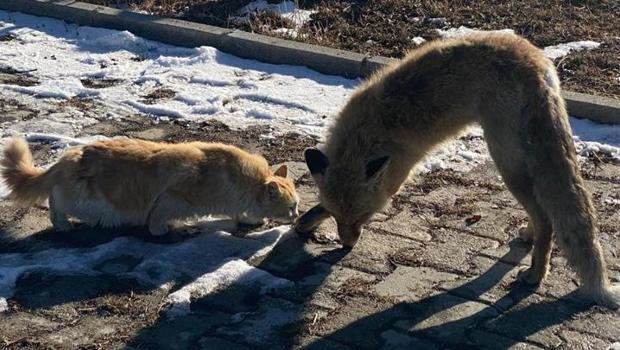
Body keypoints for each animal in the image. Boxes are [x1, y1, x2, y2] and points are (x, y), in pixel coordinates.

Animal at [0, 137, 300, 235]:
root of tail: (67, 157)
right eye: (292, 207)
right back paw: (62, 224)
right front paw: (171, 229)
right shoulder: (171, 198)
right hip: (88, 203)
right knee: (55, 200)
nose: (297, 217)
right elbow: (157, 223)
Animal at [296, 31, 620, 308]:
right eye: (339, 217)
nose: (347, 246)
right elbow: (317, 207)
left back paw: (535, 276)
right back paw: (528, 237)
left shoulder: (395, 176)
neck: (367, 134)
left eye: (364, 216)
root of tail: (536, 61)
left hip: (506, 162)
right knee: (544, 213)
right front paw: (306, 221)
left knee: (546, 219)